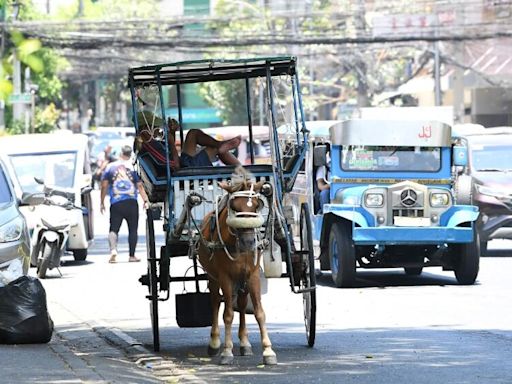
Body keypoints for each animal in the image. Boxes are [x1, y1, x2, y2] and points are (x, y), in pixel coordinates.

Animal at [197, 167, 276, 366]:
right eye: (234, 207)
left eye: (256, 206)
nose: (248, 242)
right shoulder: (225, 277)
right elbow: (227, 314)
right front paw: (226, 351)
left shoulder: (252, 275)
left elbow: (259, 313)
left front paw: (268, 350)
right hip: (213, 277)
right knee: (216, 302)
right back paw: (215, 342)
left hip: (242, 281)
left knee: (240, 304)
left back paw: (244, 343)